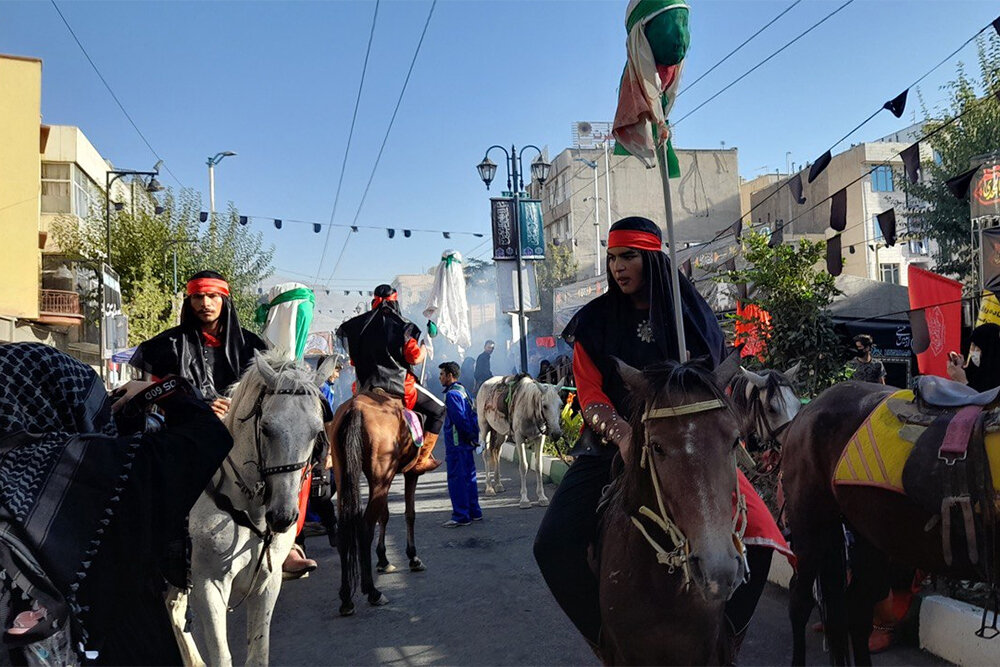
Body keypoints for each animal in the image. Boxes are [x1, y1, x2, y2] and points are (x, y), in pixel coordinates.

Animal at [168, 352, 328, 664]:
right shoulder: (209, 586)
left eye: (316, 431)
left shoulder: (267, 583)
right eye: (266, 428)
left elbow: (258, 653)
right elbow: (222, 657)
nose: (283, 517)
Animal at [324, 392, 426, 616]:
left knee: (345, 530)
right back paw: (372, 591)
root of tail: (355, 408)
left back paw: (346, 598)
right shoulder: (410, 473)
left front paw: (383, 559)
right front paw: (413, 557)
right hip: (382, 476)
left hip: (343, 474)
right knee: (364, 527)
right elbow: (409, 514)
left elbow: (385, 515)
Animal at [476, 376, 564, 512]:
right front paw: (524, 500)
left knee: (496, 452)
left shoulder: (540, 438)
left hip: (501, 433)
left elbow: (538, 466)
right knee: (486, 454)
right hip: (485, 428)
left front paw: (542, 497)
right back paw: (489, 488)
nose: (556, 433)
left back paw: (498, 484)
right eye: (544, 406)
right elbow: (523, 466)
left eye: (561, 405)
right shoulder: (519, 438)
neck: (529, 408)